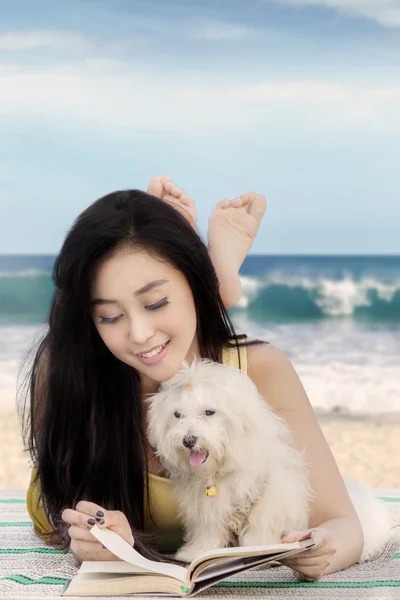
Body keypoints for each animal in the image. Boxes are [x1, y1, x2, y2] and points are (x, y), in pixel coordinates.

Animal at [145, 358, 390, 564]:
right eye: (177, 415)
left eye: (209, 412)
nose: (188, 440)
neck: (220, 469)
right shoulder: (206, 506)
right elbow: (208, 529)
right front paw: (196, 552)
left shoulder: (270, 498)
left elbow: (259, 526)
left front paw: (258, 551)